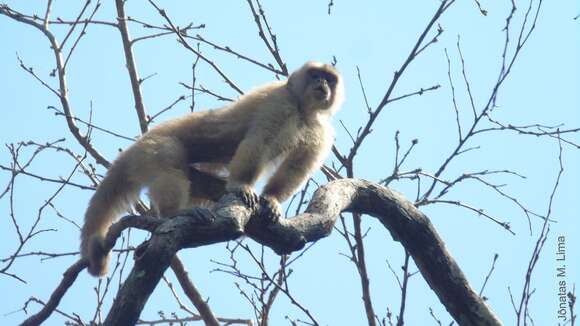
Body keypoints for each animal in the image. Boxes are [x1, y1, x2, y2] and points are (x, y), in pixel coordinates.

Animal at [81, 60, 344, 276]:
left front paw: (272, 198)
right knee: (170, 158)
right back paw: (170, 213)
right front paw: (242, 185)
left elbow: (297, 166)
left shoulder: (321, 128)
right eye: (314, 75)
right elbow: (258, 142)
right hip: (149, 151)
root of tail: (133, 148)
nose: (322, 83)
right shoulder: (279, 102)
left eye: (328, 79)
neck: (303, 109)